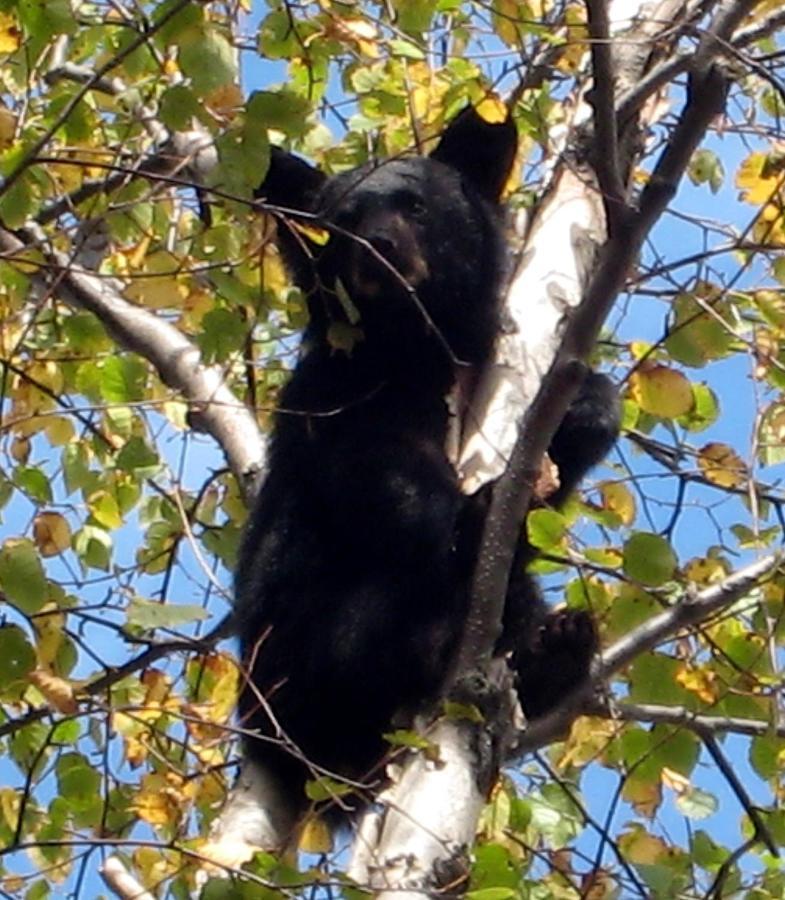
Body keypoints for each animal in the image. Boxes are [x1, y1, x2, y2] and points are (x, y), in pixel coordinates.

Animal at [233, 103, 620, 824]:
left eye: (414, 204)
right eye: (341, 221)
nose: (378, 249)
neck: (414, 347)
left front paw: (586, 410)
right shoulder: (337, 394)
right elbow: (381, 468)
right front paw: (479, 510)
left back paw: (557, 646)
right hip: (307, 657)